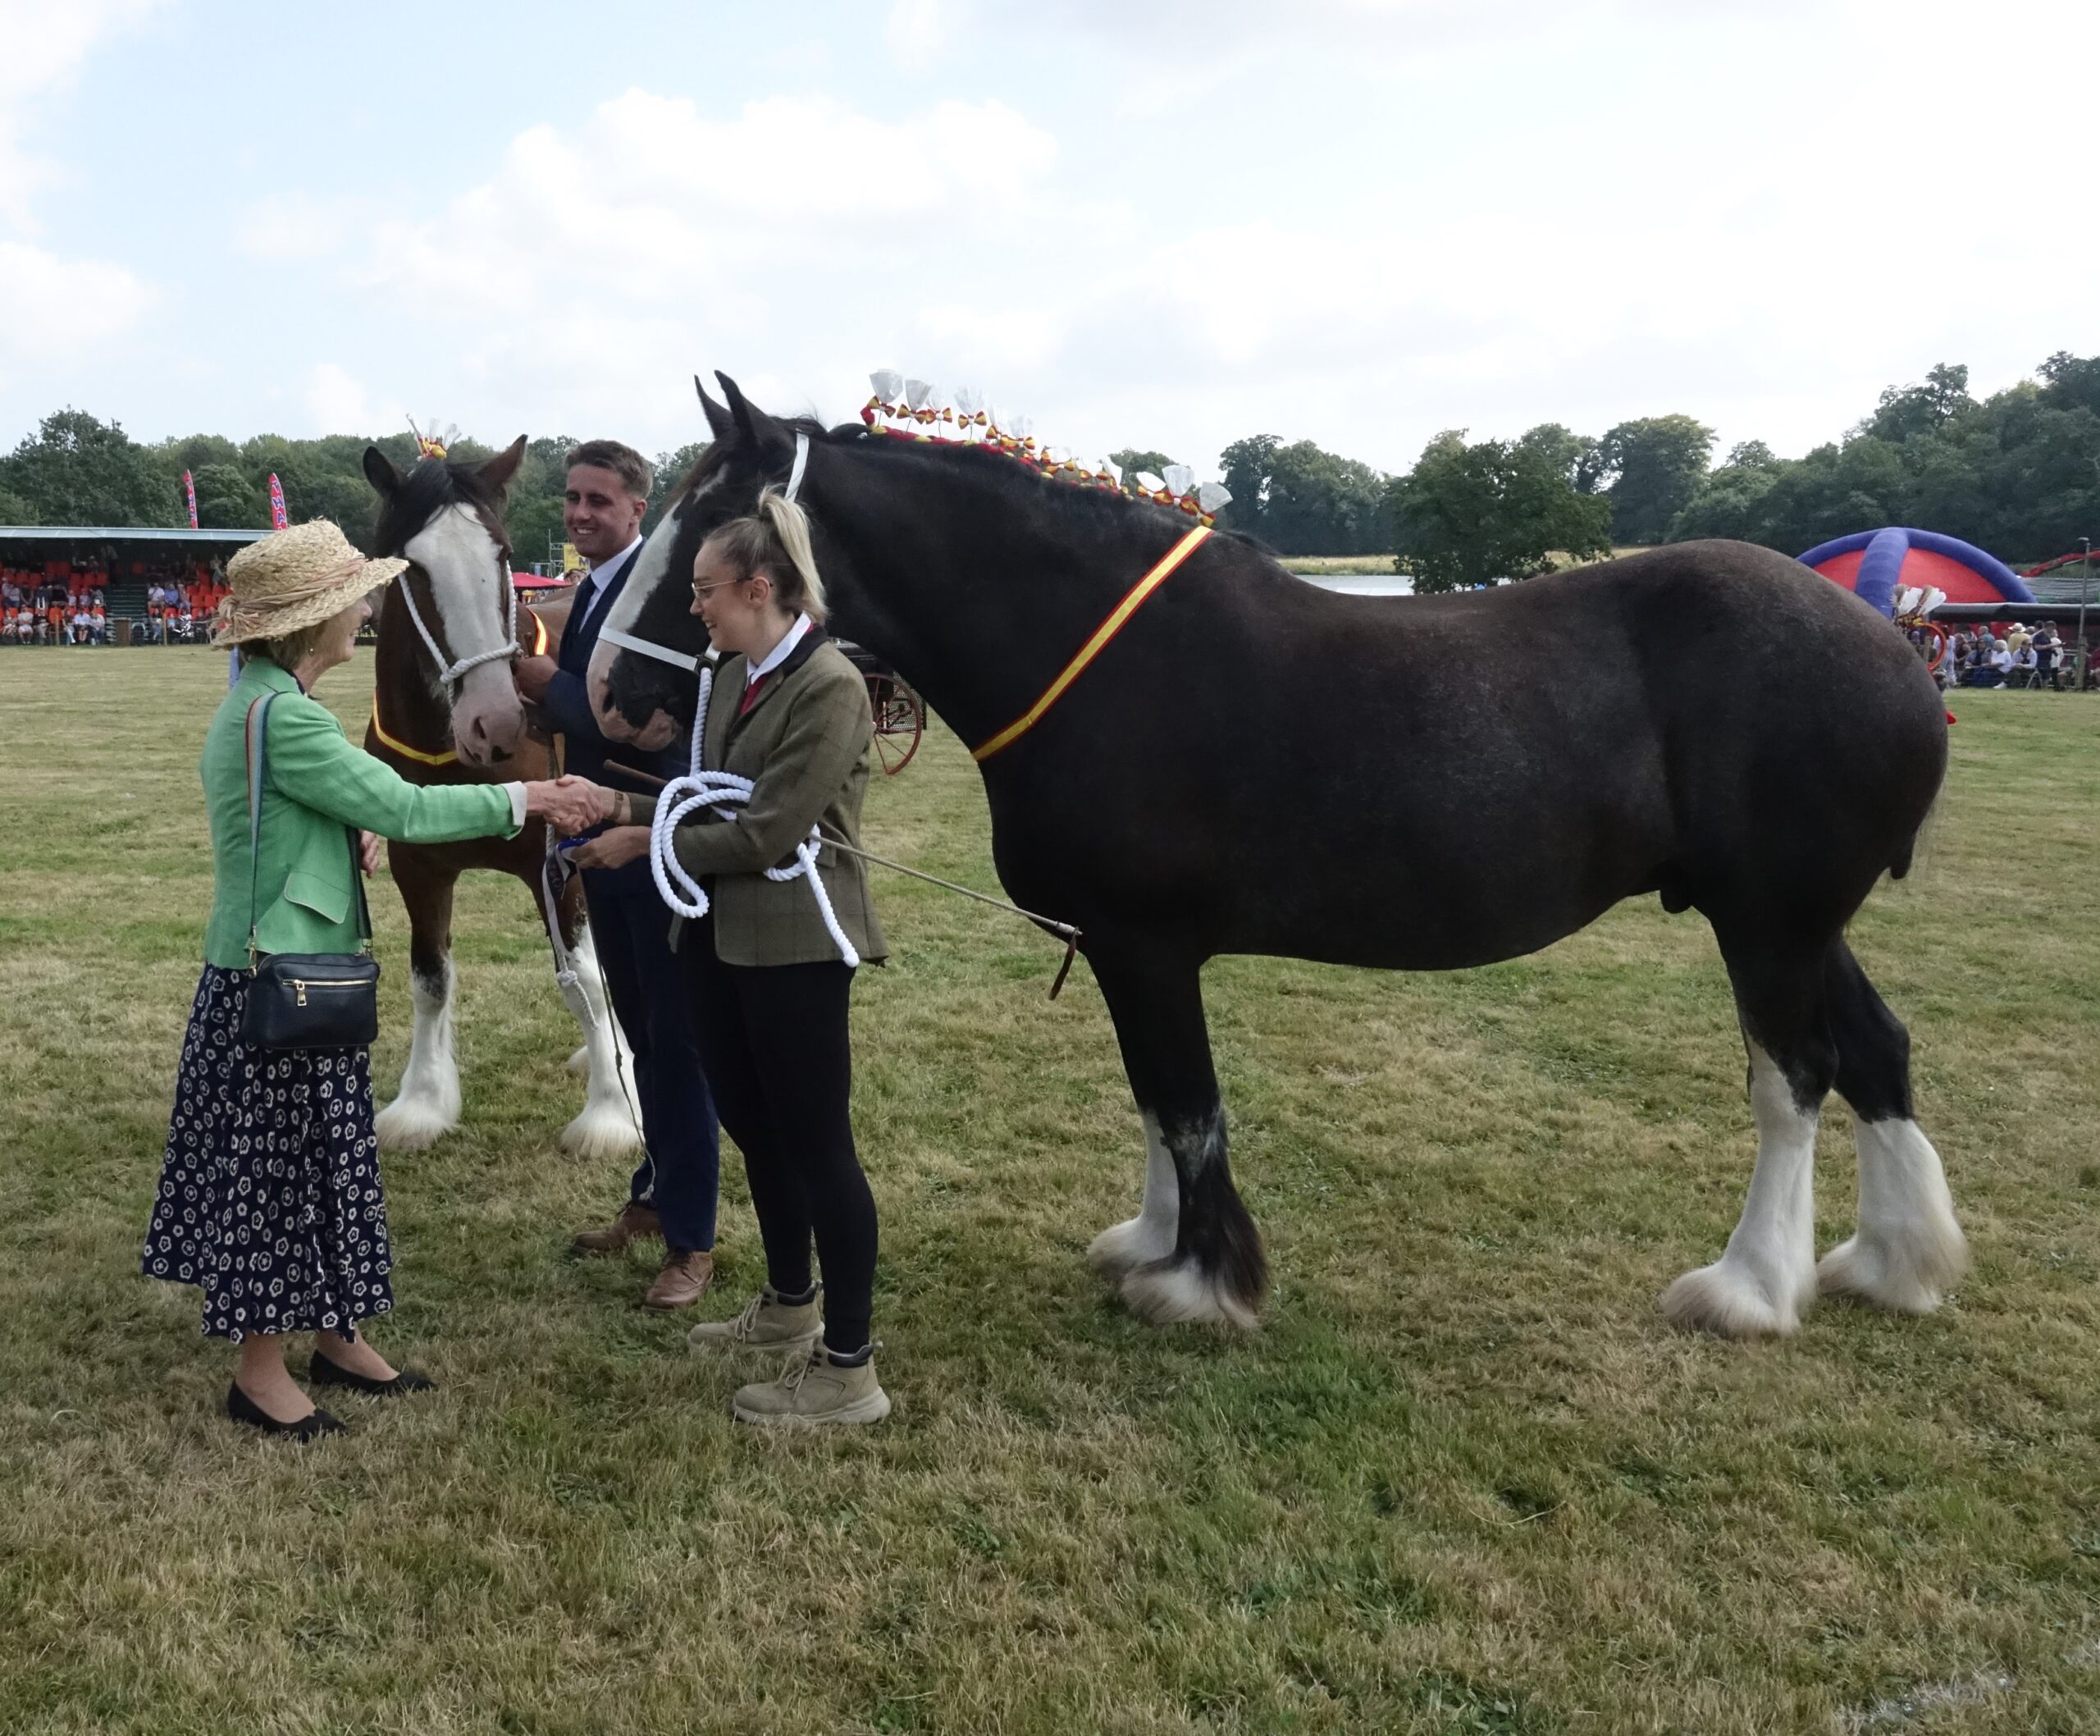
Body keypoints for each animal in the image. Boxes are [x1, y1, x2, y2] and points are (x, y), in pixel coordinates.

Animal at [583, 373, 1956, 1335]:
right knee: (1877, 1050)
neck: (1092, 651)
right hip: (1797, 922)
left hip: (1766, 922)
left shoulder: (1148, 945)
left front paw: (1201, 1285)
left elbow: (1189, 1104)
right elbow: (1154, 1097)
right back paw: (1893, 1265)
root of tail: (1895, 649)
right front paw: (1151, 1246)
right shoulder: (1124, 950)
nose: (604, 692)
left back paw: (1750, 1287)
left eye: (713, 530)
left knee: (1795, 1077)